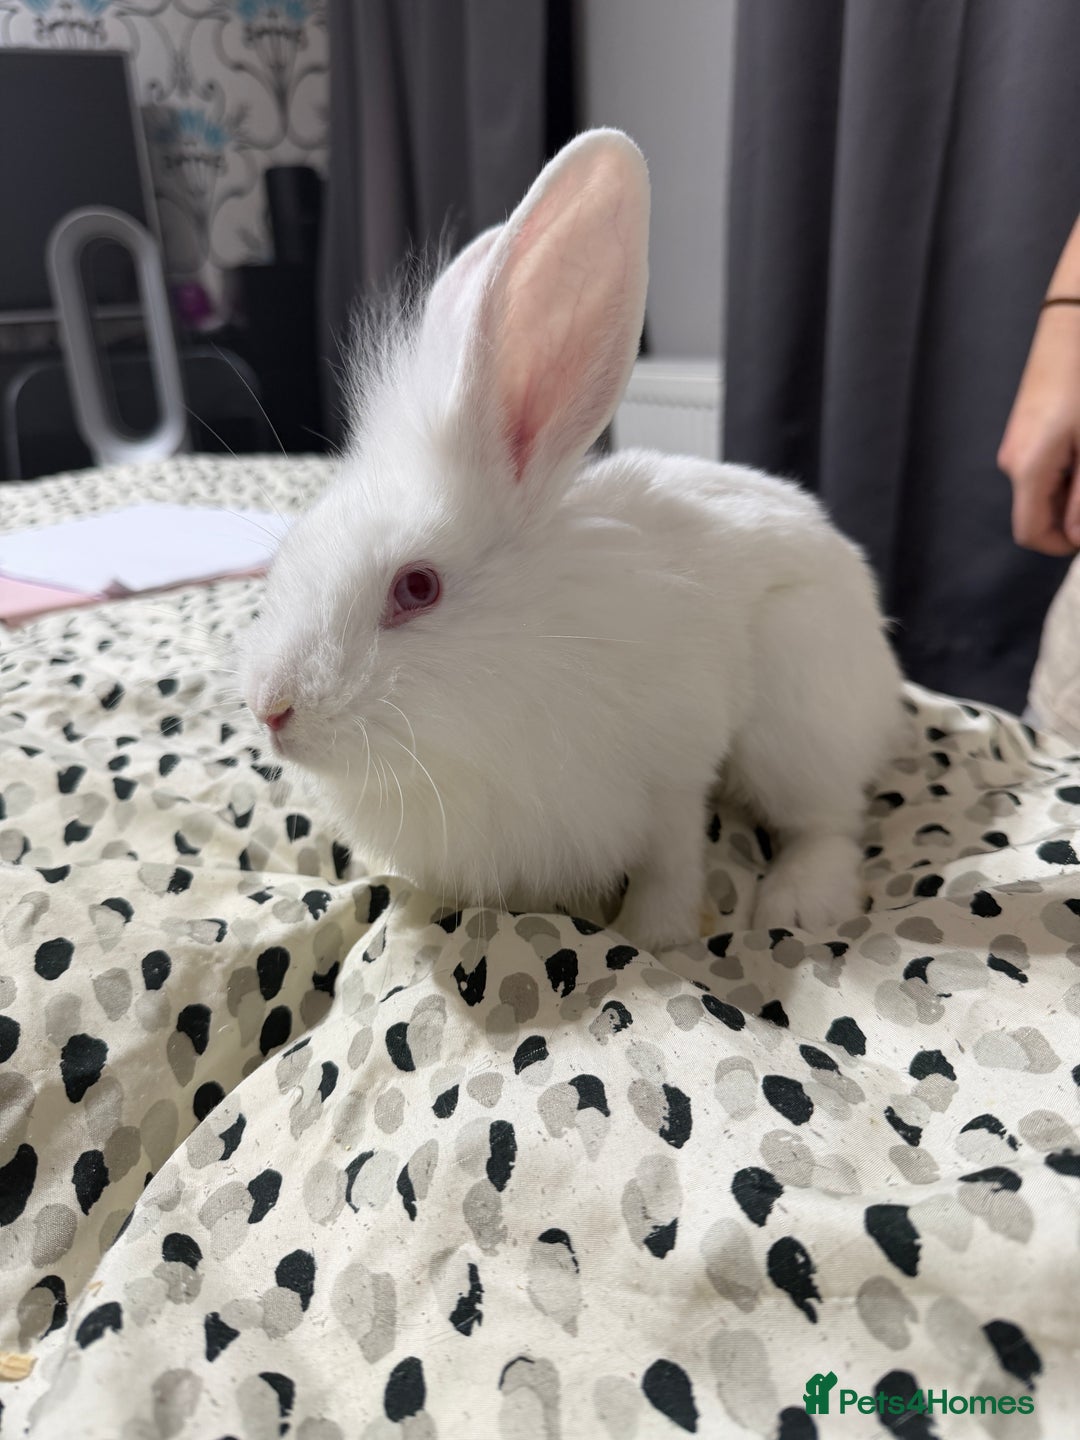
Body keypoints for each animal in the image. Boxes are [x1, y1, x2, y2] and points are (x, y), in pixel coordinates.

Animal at [238, 128, 903, 953]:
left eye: (417, 587)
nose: (269, 709)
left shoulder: (673, 772)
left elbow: (671, 862)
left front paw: (657, 939)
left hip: (799, 713)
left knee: (831, 820)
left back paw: (799, 904)